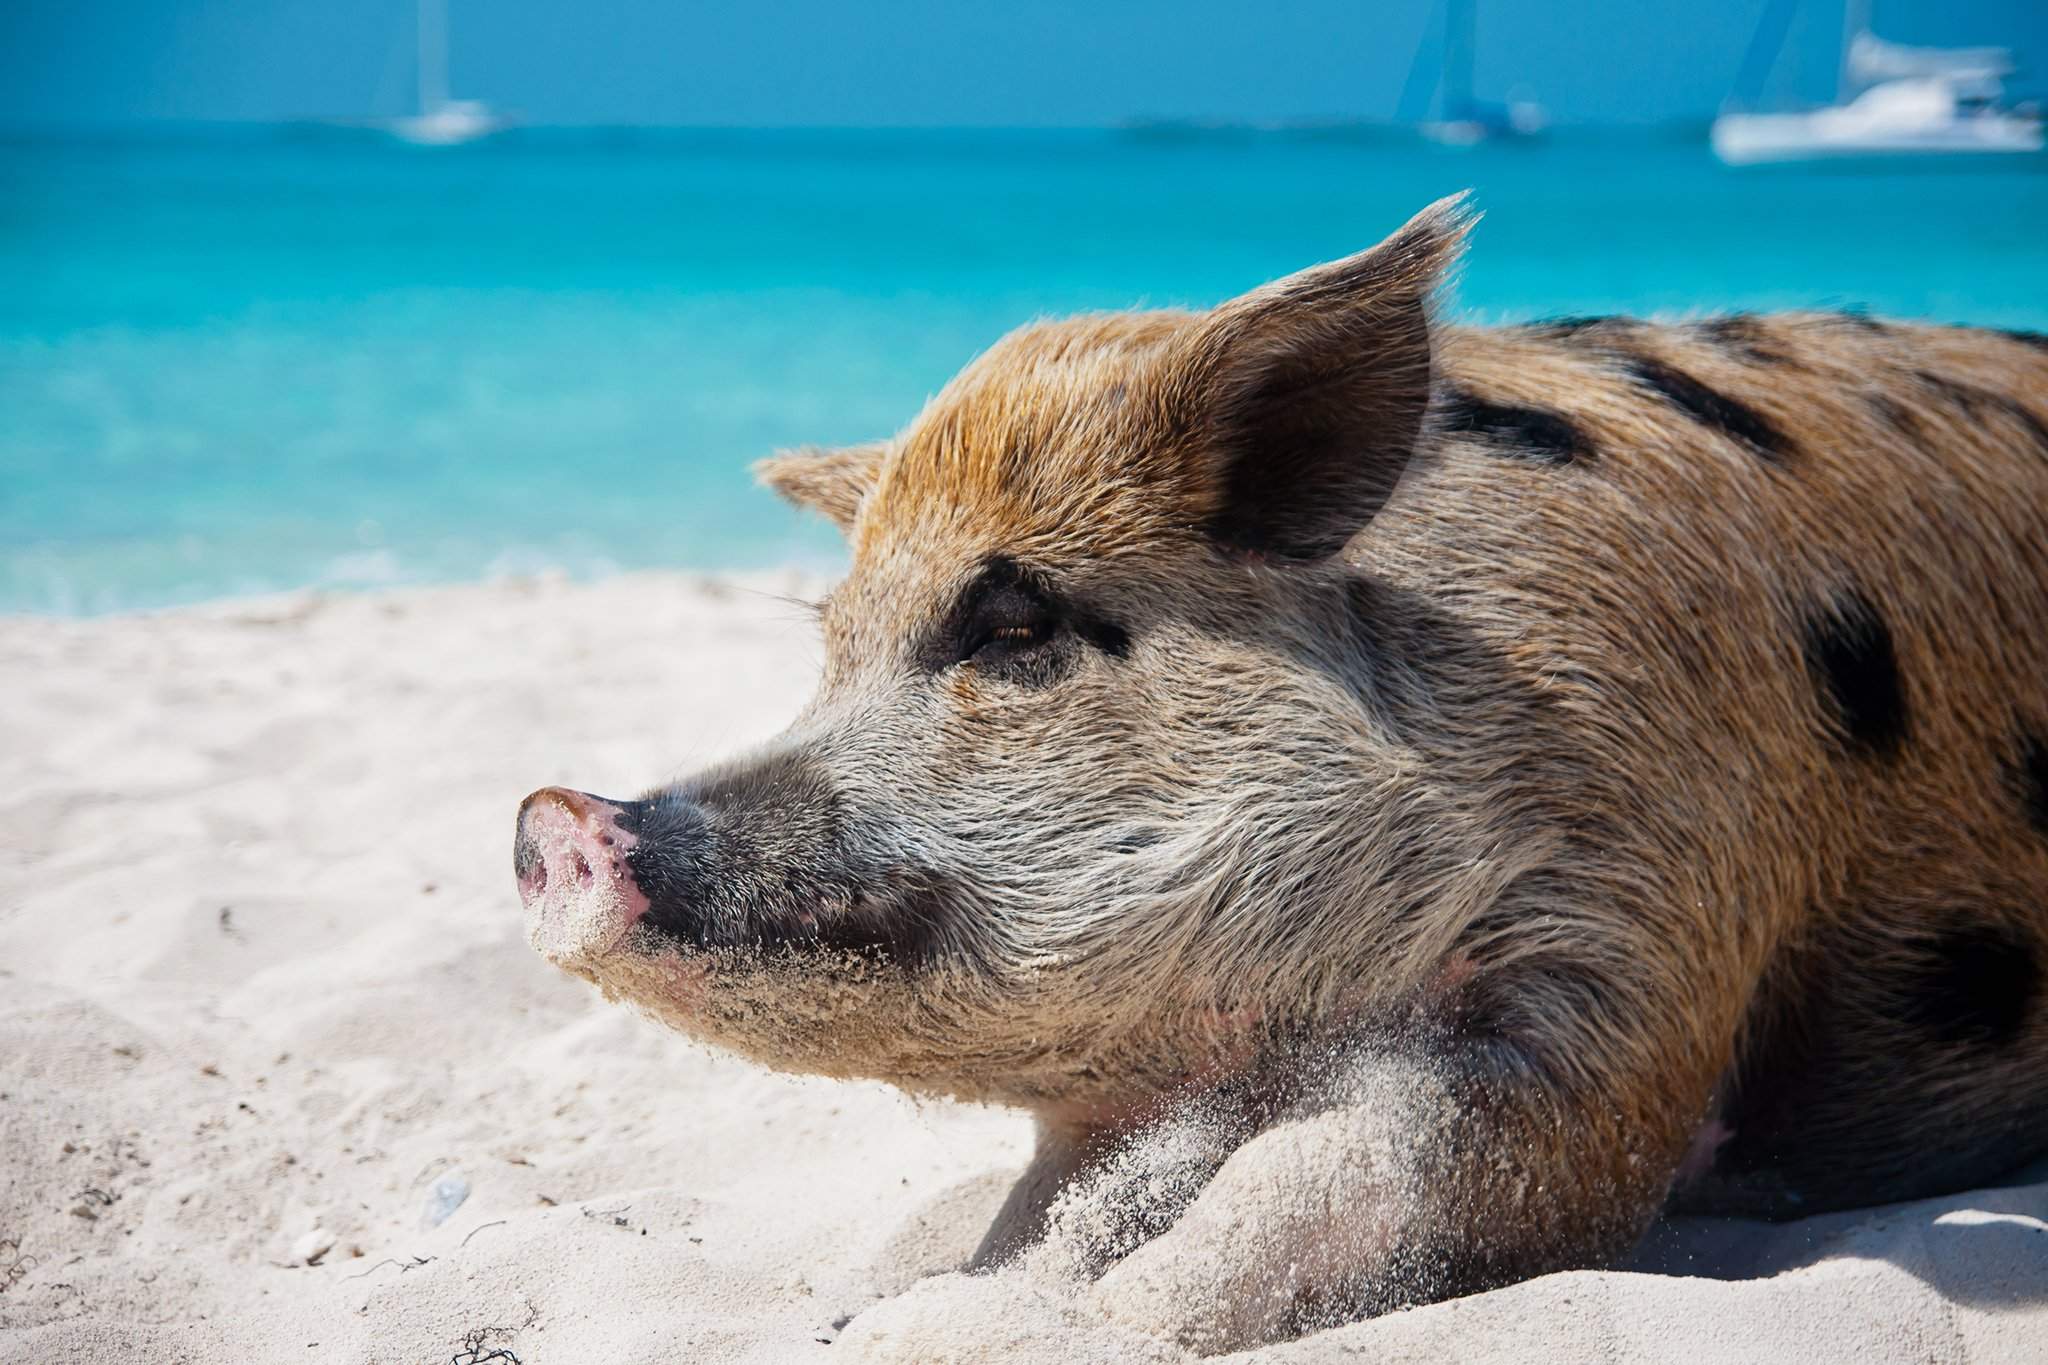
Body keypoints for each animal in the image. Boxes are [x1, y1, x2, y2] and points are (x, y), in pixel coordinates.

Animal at [516, 194, 2048, 1358]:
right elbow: (1048, 1213)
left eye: (1010, 624)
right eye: (831, 646)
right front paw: (910, 1310)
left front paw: (997, 1335)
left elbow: (1343, 1166)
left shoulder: (1647, 953)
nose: (550, 815)